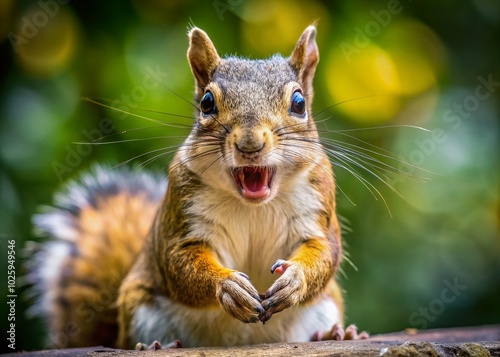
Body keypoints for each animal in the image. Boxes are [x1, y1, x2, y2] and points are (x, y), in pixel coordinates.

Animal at [30, 25, 368, 348]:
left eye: (299, 103)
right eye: (207, 103)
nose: (250, 144)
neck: (253, 205)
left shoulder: (318, 202)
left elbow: (325, 250)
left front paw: (295, 279)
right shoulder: (183, 212)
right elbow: (179, 261)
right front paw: (228, 285)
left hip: (324, 306)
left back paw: (336, 334)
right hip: (141, 309)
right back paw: (155, 345)